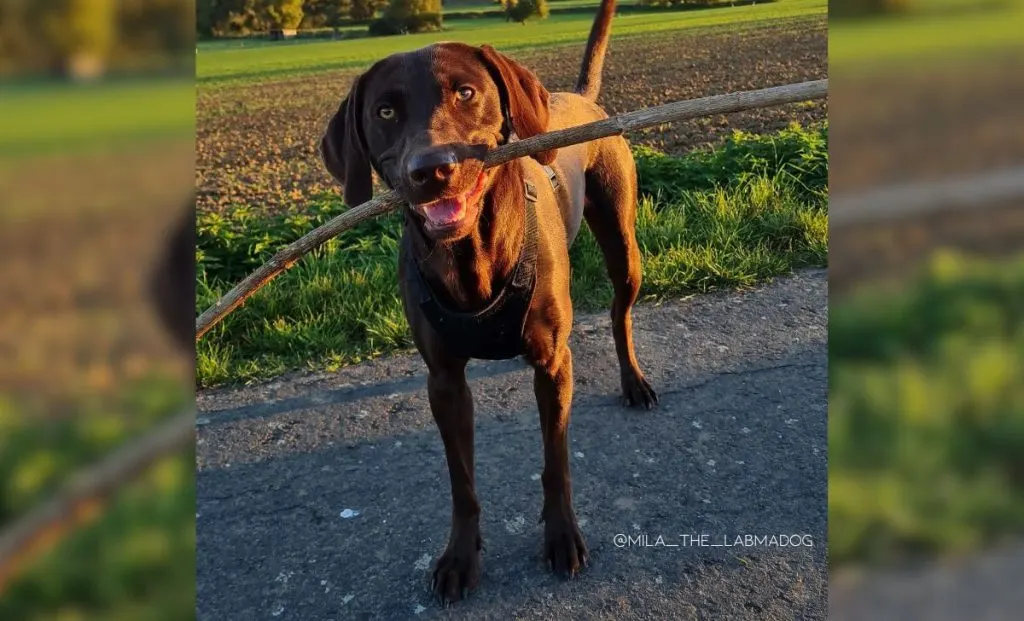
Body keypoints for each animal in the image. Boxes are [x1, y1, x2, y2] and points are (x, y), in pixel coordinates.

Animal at [319, 0, 655, 606]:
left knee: (621, 313)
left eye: (466, 92)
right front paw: (459, 557)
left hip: (623, 244)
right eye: (385, 111)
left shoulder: (552, 364)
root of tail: (580, 98)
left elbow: (555, 461)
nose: (431, 169)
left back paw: (633, 380)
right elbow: (462, 483)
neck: (470, 256)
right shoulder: (445, 382)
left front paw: (562, 536)